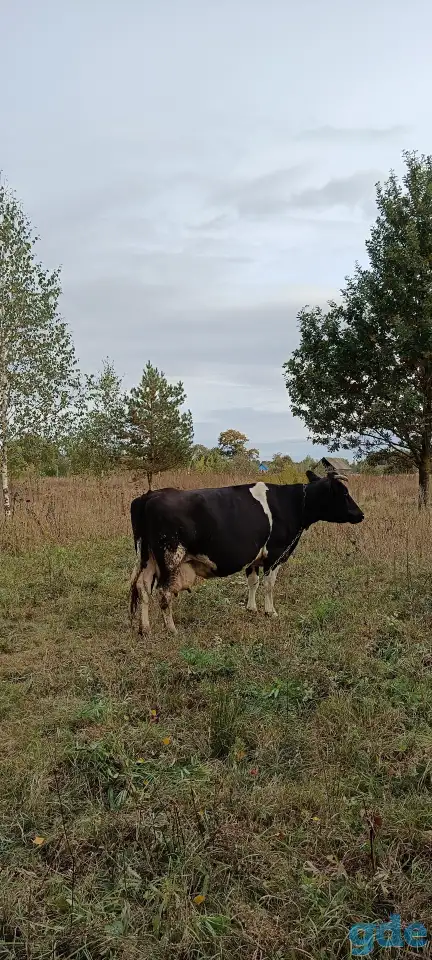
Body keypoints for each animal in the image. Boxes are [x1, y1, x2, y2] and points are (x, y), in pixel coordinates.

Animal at [129, 470, 364, 634]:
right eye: (344, 493)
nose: (361, 514)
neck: (294, 504)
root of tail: (149, 496)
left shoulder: (254, 557)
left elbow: (253, 582)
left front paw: (251, 608)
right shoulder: (275, 554)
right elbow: (269, 585)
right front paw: (270, 611)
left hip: (148, 558)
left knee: (143, 588)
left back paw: (145, 629)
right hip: (169, 556)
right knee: (164, 592)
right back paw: (171, 629)